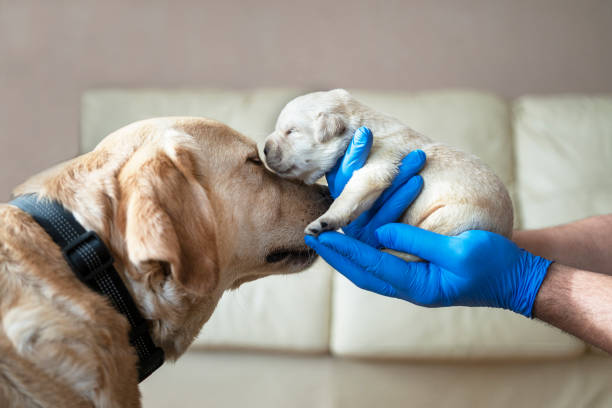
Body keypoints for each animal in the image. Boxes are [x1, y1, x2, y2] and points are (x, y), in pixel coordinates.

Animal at [260, 89, 512, 241]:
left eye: (291, 131)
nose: (264, 149)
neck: (360, 126)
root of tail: (507, 231)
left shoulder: (377, 164)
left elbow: (349, 195)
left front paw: (323, 222)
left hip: (455, 215)